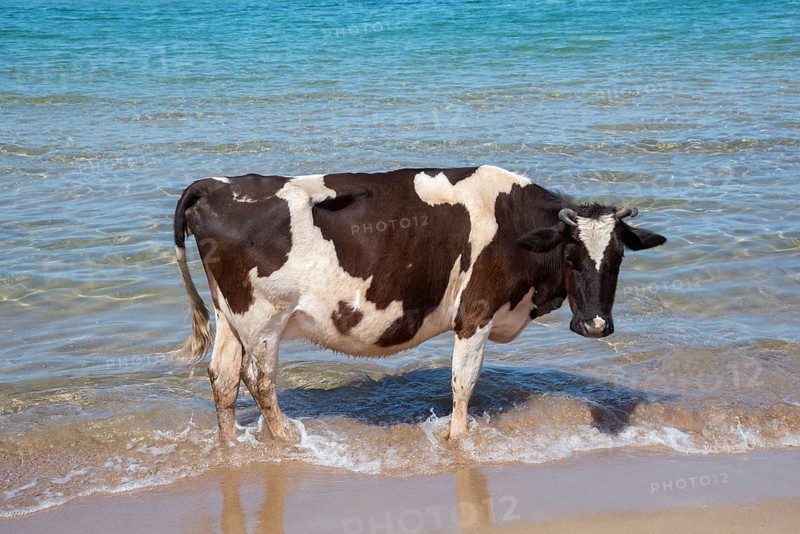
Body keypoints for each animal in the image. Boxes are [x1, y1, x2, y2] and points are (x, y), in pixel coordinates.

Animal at [173, 166, 666, 442]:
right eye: (570, 255)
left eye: (618, 257)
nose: (595, 325)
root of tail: (213, 185)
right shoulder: (475, 312)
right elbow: (463, 383)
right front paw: (458, 439)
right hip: (263, 318)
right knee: (259, 380)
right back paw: (284, 439)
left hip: (230, 316)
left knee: (224, 377)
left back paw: (229, 445)